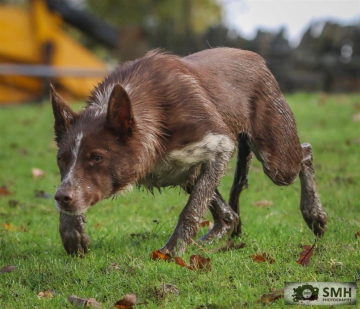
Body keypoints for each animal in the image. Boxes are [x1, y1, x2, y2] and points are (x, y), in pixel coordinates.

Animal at [52, 48, 328, 254]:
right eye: (62, 159)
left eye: (97, 157)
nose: (61, 197)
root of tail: (257, 60)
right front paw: (72, 231)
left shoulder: (220, 145)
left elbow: (191, 210)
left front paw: (173, 250)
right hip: (191, 174)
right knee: (229, 216)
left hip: (277, 162)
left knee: (305, 152)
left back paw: (314, 214)